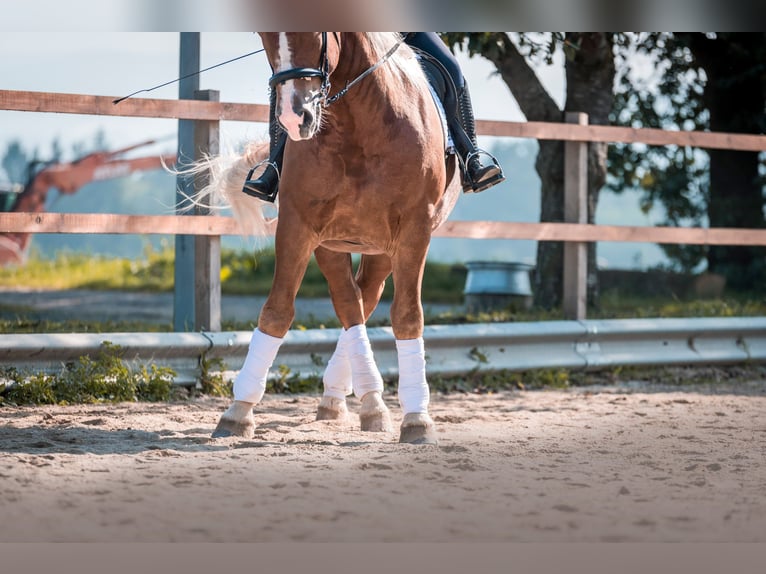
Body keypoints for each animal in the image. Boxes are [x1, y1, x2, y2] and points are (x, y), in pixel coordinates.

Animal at [198, 33, 462, 444]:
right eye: (266, 38)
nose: (295, 118)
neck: (358, 124)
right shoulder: (298, 226)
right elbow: (276, 312)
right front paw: (237, 412)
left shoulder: (413, 231)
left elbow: (407, 317)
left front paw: (417, 420)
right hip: (334, 245)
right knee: (350, 304)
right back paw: (352, 402)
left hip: (382, 248)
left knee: (364, 300)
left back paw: (366, 402)